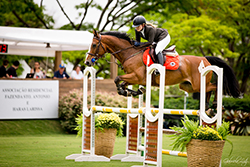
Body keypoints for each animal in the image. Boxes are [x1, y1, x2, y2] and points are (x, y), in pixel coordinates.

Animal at [85, 29, 240, 108]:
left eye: (94, 45)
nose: (87, 62)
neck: (130, 54)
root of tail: (205, 59)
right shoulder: (133, 78)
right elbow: (121, 83)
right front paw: (132, 92)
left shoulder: (137, 76)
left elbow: (117, 79)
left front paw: (129, 91)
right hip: (188, 86)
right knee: (208, 89)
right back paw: (207, 105)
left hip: (197, 84)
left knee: (215, 86)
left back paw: (214, 104)